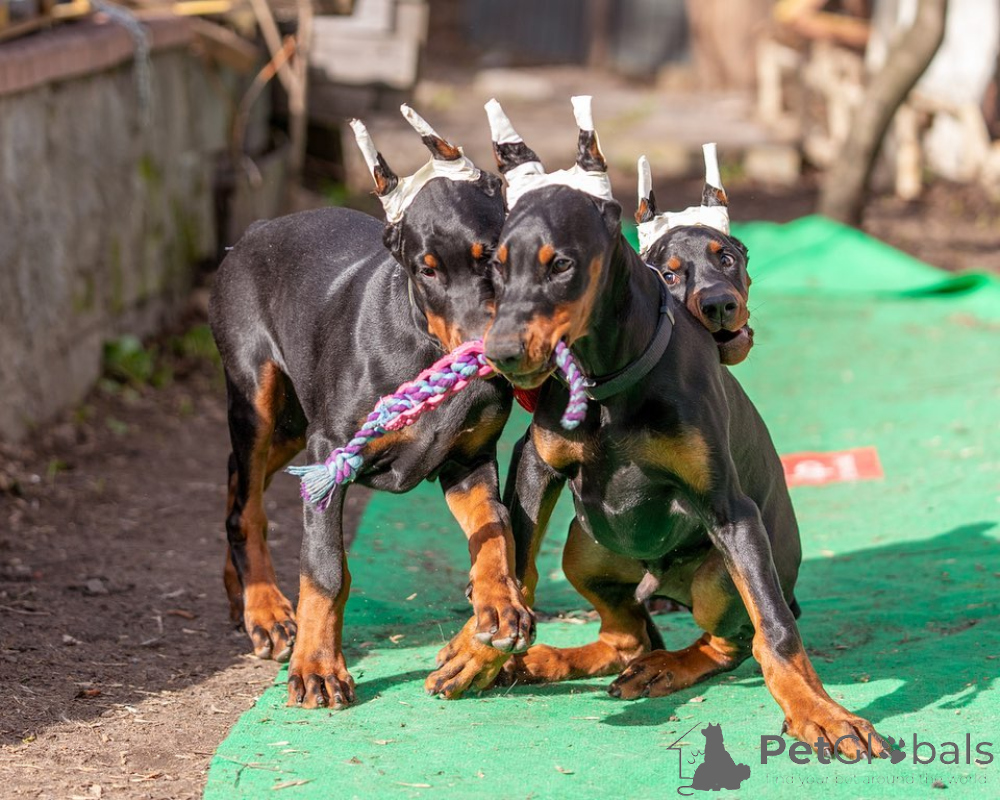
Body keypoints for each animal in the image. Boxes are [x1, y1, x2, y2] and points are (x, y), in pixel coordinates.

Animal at [209, 107, 532, 708]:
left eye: (493, 258)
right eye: (426, 270)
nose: (486, 352)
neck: (421, 348)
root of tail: (253, 232)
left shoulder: (469, 460)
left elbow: (494, 524)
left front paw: (500, 604)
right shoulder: (330, 454)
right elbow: (325, 568)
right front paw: (317, 669)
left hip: (292, 423)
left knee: (239, 481)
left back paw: (238, 590)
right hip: (259, 398)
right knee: (248, 502)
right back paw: (265, 609)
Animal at [478, 97, 887, 759]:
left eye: (729, 257)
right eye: (497, 268)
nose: (504, 353)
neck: (610, 383)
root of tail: (658, 580)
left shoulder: (730, 511)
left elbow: (775, 632)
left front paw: (820, 714)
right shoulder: (535, 463)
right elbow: (516, 560)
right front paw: (477, 649)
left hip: (717, 574)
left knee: (730, 640)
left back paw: (665, 668)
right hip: (586, 550)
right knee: (625, 635)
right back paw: (550, 661)